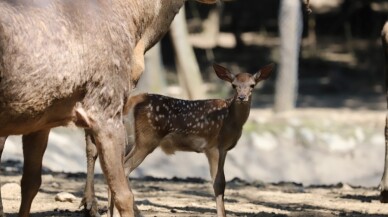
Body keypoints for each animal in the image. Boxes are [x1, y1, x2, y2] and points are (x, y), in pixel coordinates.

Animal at [0, 0, 217, 216]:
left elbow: (32, 180)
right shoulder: (105, 104)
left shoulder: (46, 117)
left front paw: (92, 204)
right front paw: (94, 204)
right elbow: (118, 181)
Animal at [84, 62, 274, 215]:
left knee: (116, 169)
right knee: (124, 168)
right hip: (147, 139)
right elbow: (218, 183)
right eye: (234, 85)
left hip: (130, 138)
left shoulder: (224, 149)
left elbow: (223, 182)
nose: (242, 97)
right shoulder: (212, 146)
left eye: (252, 85)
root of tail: (132, 101)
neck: (230, 119)